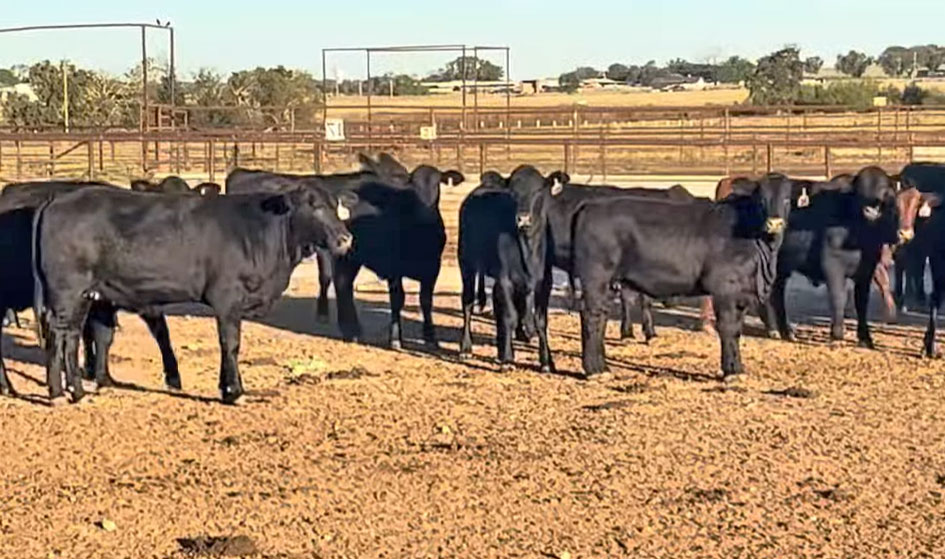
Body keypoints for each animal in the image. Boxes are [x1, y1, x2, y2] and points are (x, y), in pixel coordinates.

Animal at [33, 183, 356, 404]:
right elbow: (230, 344)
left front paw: (227, 388)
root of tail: (56, 201)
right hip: (68, 291)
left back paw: (77, 389)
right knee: (58, 333)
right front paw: (234, 391)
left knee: (72, 335)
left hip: (85, 295)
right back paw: (59, 393)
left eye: (334, 205)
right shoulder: (227, 299)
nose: (345, 238)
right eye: (313, 205)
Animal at [458, 166, 565, 372]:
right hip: (467, 264)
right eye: (512, 192)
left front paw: (546, 361)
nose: (523, 219)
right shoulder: (504, 279)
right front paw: (508, 359)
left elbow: (541, 321)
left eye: (538, 191)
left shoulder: (544, 282)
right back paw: (466, 348)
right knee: (467, 303)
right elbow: (510, 315)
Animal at [572, 176, 794, 380]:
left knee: (601, 315)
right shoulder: (725, 288)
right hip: (597, 277)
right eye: (761, 199)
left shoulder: (742, 293)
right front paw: (732, 372)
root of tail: (590, 206)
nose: (774, 223)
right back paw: (596, 370)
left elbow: (737, 329)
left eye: (787, 199)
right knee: (592, 315)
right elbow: (728, 327)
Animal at [766, 167, 911, 348]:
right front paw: (837, 336)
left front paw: (865, 338)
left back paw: (784, 331)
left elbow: (861, 302)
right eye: (860, 191)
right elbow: (838, 298)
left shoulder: (866, 271)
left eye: (884, 191)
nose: (870, 211)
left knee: (776, 292)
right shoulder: (832, 266)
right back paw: (775, 329)